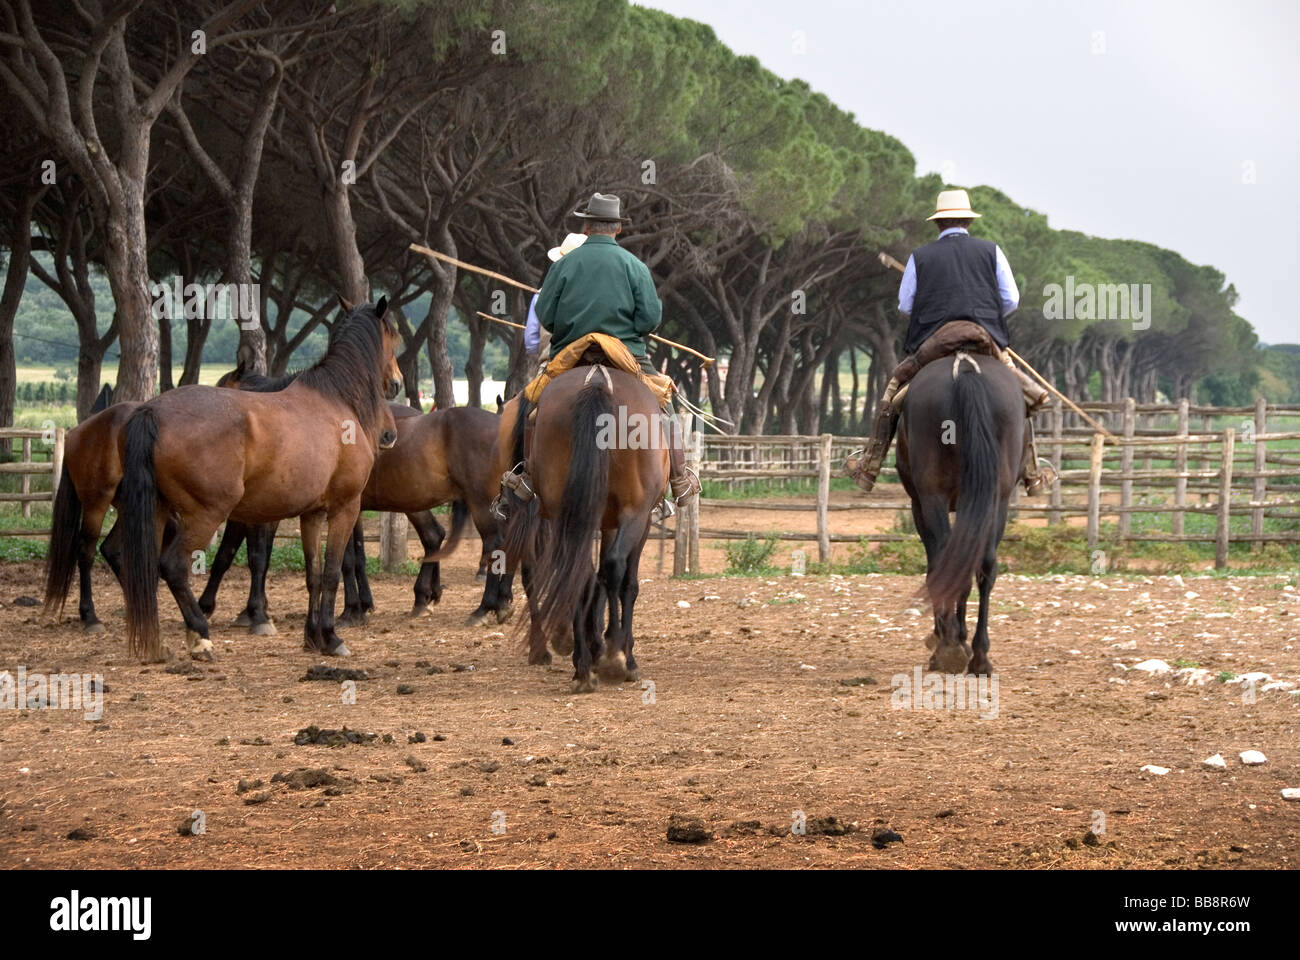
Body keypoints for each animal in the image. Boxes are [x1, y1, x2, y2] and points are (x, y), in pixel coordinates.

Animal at [116, 297, 402, 662]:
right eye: (392, 335)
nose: (397, 381)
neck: (337, 399)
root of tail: (152, 412)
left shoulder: (312, 514)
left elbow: (314, 574)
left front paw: (312, 637)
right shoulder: (344, 509)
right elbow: (332, 572)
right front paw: (330, 636)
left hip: (157, 511)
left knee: (146, 566)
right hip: (204, 515)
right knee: (173, 566)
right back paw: (200, 634)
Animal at [500, 363, 667, 692]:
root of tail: (597, 382)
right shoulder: (637, 521)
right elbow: (626, 582)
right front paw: (619, 649)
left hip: (565, 514)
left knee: (573, 572)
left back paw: (581, 664)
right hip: (634, 512)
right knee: (611, 570)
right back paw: (615, 658)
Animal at [894, 353, 1022, 676]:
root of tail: (964, 366)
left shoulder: (919, 504)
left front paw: (946, 636)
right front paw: (961, 639)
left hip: (932, 497)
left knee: (943, 557)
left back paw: (948, 648)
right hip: (997, 498)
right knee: (984, 563)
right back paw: (979, 656)